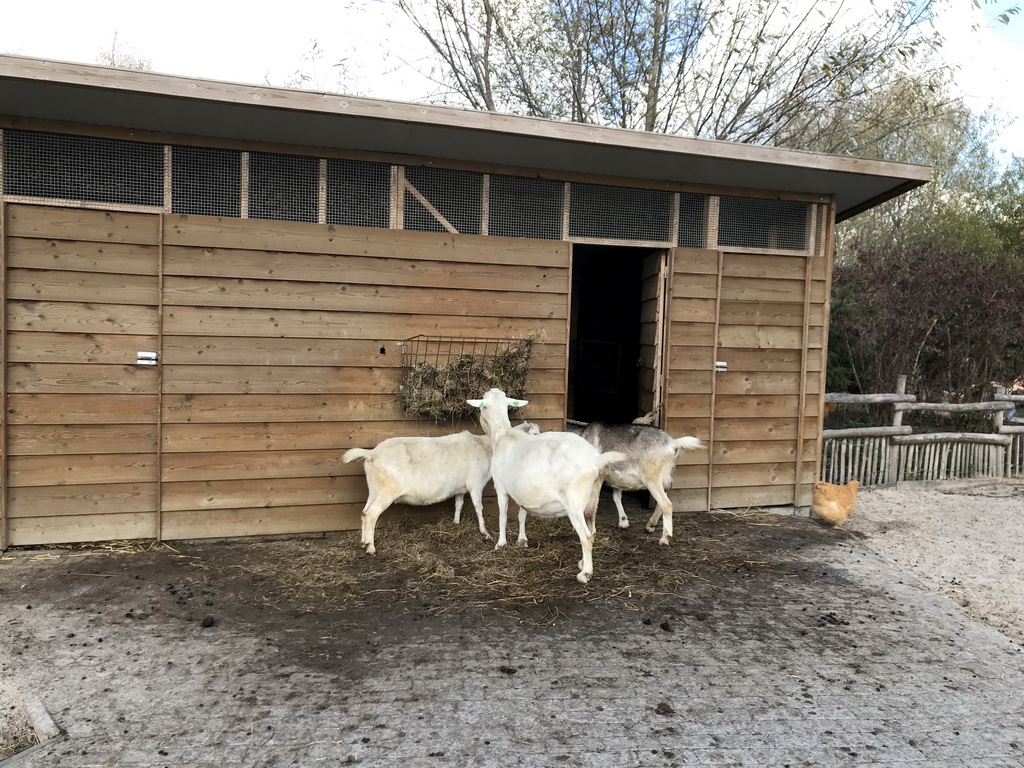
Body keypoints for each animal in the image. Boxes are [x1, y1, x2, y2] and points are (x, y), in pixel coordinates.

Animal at [342, 423, 536, 557]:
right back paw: (371, 548)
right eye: (534, 433)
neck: (485, 446)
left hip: (374, 490)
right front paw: (485, 533)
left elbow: (458, 504)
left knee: (364, 513)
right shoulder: (475, 484)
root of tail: (371, 453)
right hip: (386, 492)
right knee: (371, 515)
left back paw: (363, 542)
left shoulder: (460, 488)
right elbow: (479, 508)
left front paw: (456, 523)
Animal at [466, 391, 622, 581]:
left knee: (585, 536)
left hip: (575, 502)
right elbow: (521, 514)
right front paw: (522, 540)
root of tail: (596, 459)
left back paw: (585, 573)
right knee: (592, 531)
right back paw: (582, 563)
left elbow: (503, 515)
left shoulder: (500, 487)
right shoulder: (524, 491)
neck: (503, 435)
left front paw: (501, 543)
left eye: (483, 405)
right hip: (592, 500)